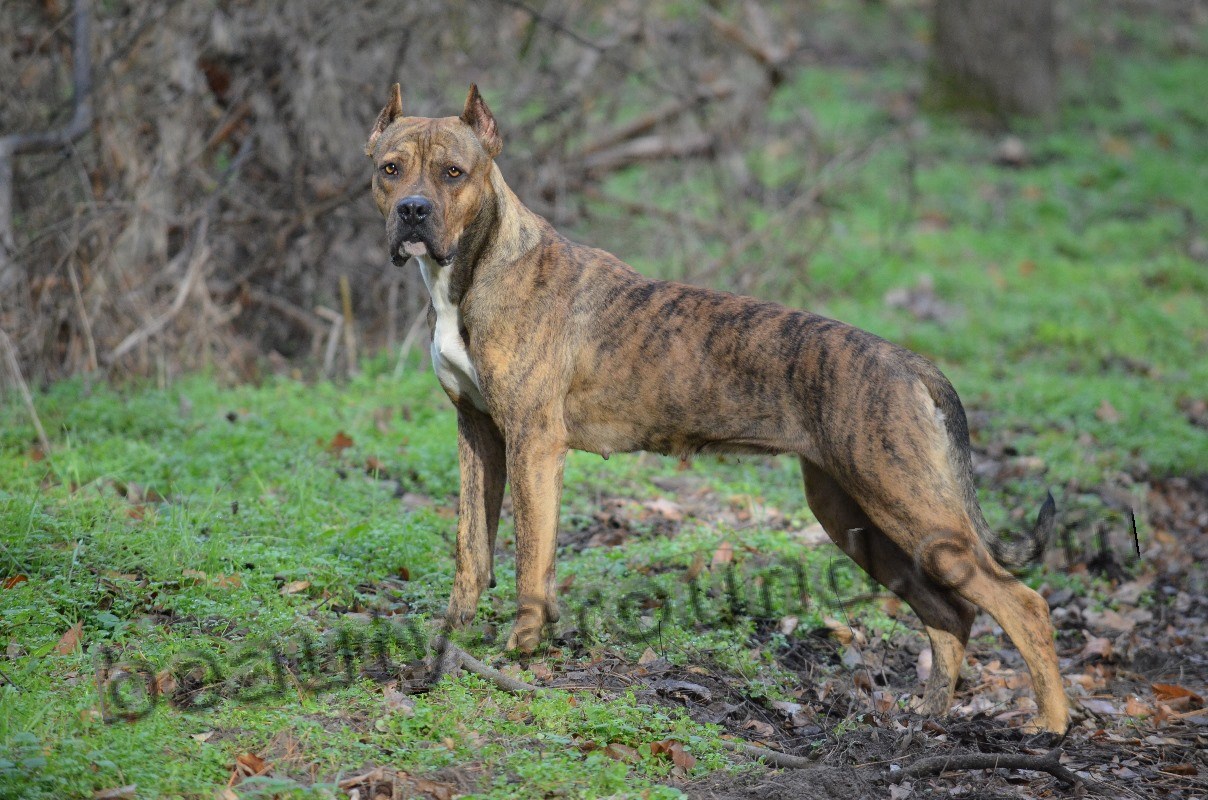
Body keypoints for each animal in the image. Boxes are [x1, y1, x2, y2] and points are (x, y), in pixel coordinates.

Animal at [364, 86, 1067, 734]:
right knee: (951, 613)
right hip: (856, 517)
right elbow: (472, 553)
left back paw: (1051, 725)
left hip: (909, 504)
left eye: (454, 172)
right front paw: (449, 644)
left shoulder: (532, 444)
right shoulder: (477, 434)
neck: (477, 269)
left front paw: (521, 652)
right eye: (390, 168)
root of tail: (909, 363)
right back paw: (929, 715)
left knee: (1023, 604)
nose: (412, 212)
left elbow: (531, 560)